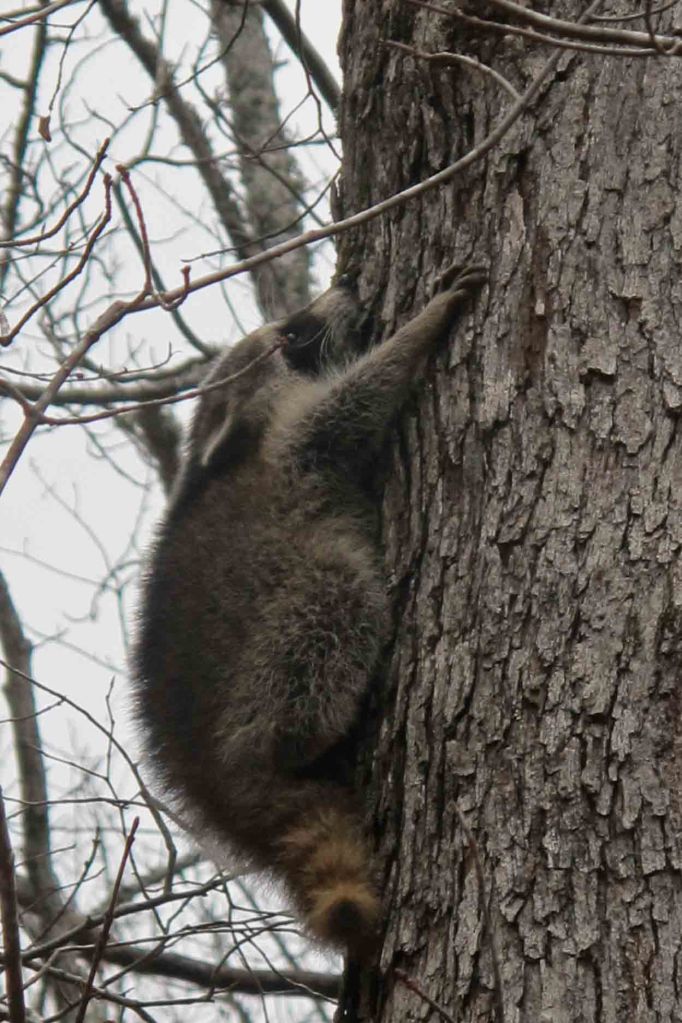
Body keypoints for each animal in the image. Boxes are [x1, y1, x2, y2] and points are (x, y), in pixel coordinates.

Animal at [133, 263, 485, 956]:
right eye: (292, 336)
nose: (346, 285)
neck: (235, 443)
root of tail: (213, 785)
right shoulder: (295, 443)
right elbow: (354, 402)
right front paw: (422, 327)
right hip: (268, 655)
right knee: (330, 606)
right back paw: (309, 734)